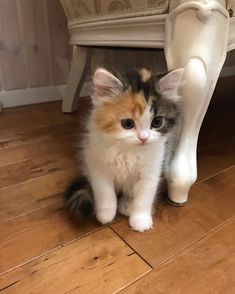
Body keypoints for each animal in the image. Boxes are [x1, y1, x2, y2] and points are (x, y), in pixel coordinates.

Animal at [63, 67, 184, 232]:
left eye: (157, 122)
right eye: (127, 123)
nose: (144, 138)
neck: (129, 150)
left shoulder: (151, 171)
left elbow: (144, 197)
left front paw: (140, 219)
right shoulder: (97, 165)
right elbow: (105, 193)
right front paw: (105, 214)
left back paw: (127, 204)